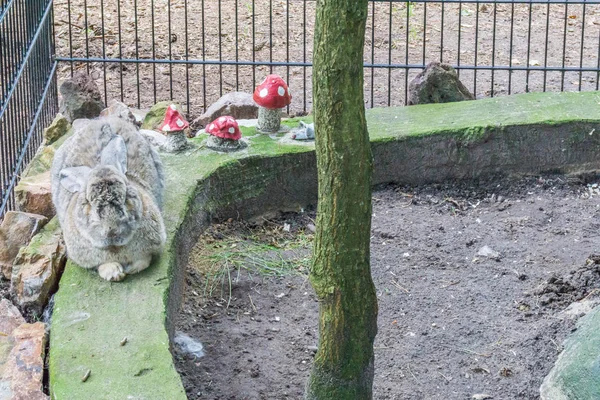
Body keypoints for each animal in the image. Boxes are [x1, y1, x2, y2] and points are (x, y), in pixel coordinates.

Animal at [49, 115, 165, 282]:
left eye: (125, 197)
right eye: (88, 203)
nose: (112, 231)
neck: (114, 247)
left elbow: (143, 261)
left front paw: (129, 270)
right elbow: (102, 265)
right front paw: (115, 273)